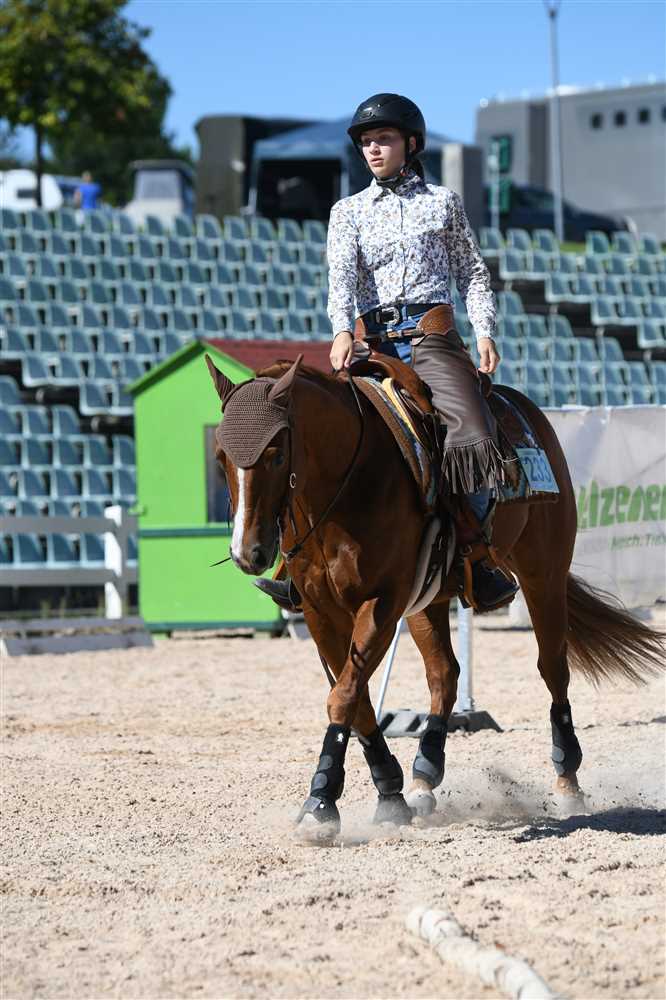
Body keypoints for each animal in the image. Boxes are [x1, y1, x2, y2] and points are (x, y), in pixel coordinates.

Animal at [205, 352, 664, 841]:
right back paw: (425, 776)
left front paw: (320, 802)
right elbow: (357, 697)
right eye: (220, 456)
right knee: (445, 675)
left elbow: (344, 696)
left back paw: (567, 781)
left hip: (544, 574)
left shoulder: (383, 603)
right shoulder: (319, 611)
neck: (349, 484)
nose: (248, 553)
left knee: (552, 668)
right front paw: (390, 793)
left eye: (274, 454)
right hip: (429, 600)